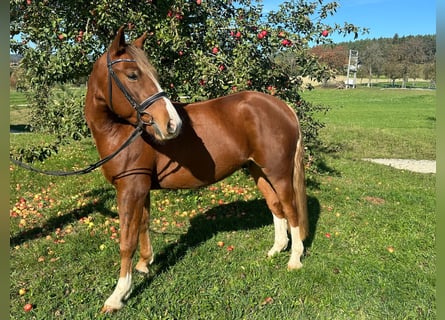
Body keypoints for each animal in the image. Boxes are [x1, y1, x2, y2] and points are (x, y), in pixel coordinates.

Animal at [85, 27, 306, 312]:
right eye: (133, 75)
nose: (172, 124)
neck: (122, 132)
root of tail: (282, 107)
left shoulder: (130, 190)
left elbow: (126, 241)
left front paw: (118, 295)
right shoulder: (140, 189)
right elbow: (143, 225)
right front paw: (145, 264)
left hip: (279, 173)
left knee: (291, 210)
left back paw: (294, 259)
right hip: (258, 171)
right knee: (276, 206)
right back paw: (277, 249)